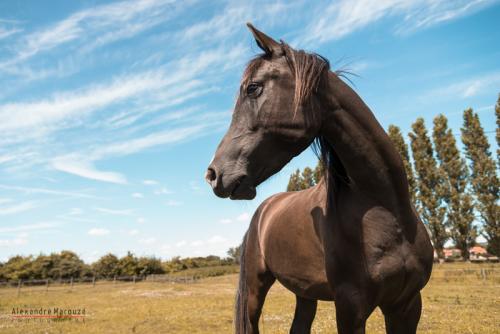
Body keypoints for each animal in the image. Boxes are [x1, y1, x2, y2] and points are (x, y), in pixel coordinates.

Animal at [205, 24, 432, 334]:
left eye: (253, 88)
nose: (213, 174)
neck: (388, 212)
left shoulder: (407, 305)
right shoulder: (351, 309)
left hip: (305, 292)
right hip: (254, 289)